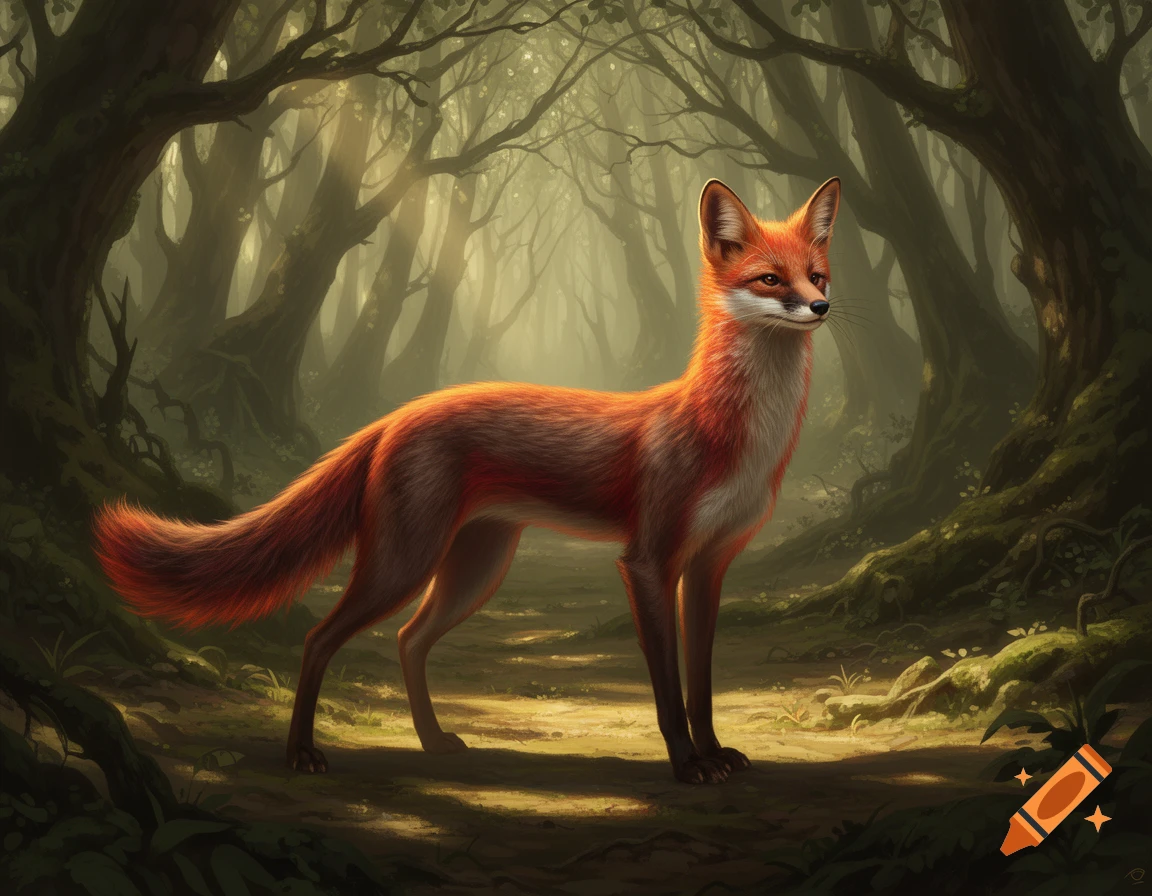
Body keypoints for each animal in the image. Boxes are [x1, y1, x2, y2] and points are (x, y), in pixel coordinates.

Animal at [94, 177, 840, 785]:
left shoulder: (710, 565)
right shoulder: (650, 561)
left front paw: (715, 754)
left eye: (819, 276)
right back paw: (301, 753)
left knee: (408, 639)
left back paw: (431, 742)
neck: (734, 438)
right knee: (320, 639)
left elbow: (702, 685)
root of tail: (398, 414)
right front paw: (687, 766)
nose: (822, 309)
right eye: (771, 280)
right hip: (405, 562)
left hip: (474, 569)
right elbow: (667, 690)